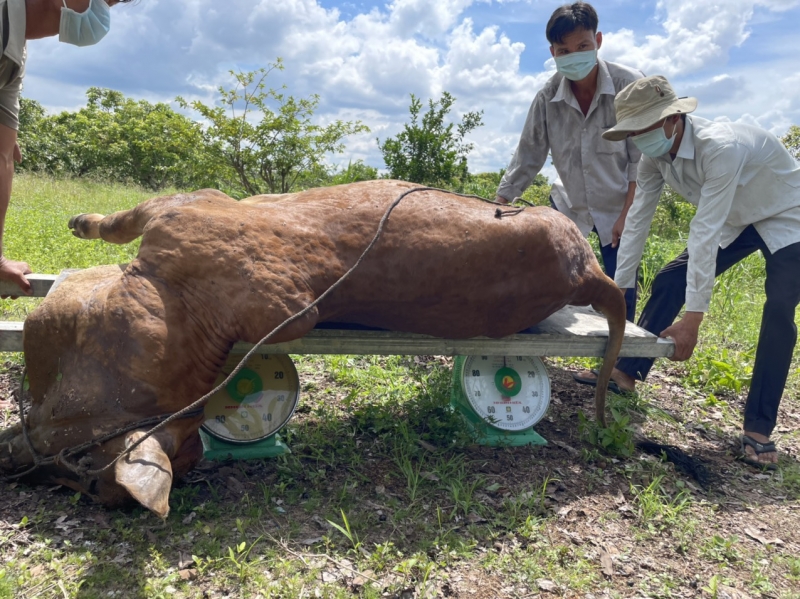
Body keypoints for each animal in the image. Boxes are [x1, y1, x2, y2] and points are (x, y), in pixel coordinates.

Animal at [0, 180, 624, 516]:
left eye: (77, 471)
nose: (11, 460)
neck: (178, 299)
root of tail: (590, 272)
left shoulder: (187, 207)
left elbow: (117, 220)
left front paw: (79, 221)